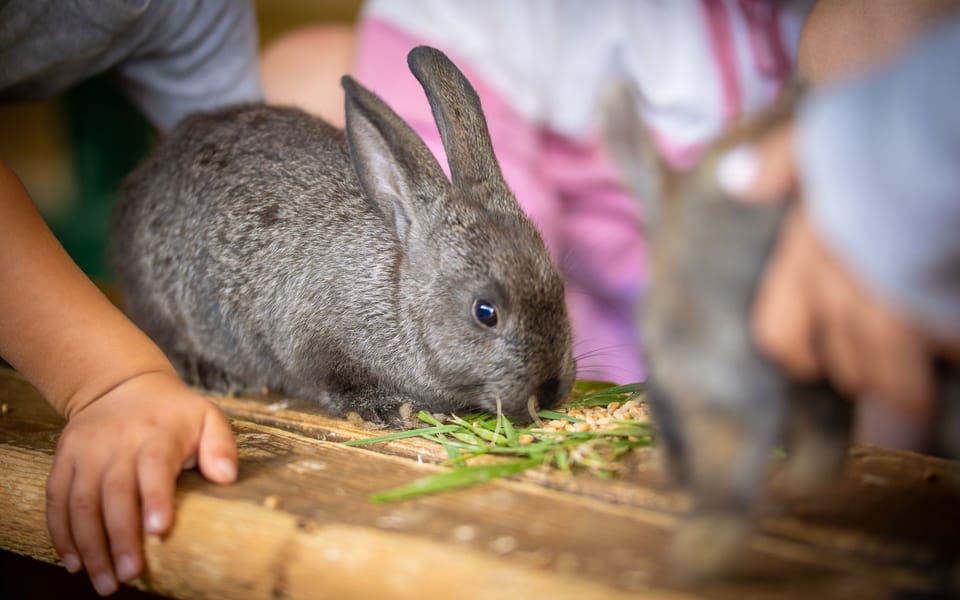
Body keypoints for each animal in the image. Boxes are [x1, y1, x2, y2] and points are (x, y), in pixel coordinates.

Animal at [110, 45, 577, 429]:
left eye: (560, 288)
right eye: (486, 312)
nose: (550, 392)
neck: (397, 297)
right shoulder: (312, 343)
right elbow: (335, 383)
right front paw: (388, 408)